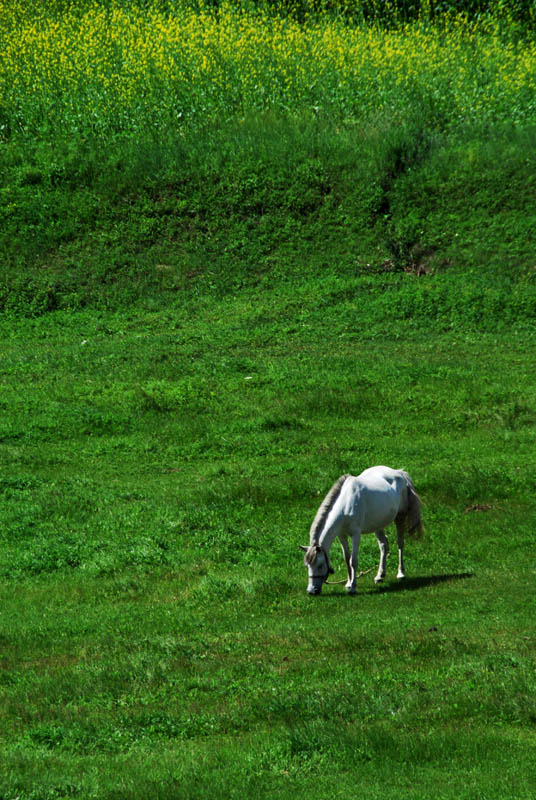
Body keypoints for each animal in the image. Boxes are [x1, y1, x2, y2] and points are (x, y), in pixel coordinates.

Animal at [300, 462, 420, 592]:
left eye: (320, 565)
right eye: (307, 566)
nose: (311, 591)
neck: (345, 505)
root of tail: (399, 473)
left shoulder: (356, 535)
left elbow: (353, 560)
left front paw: (353, 587)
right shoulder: (341, 535)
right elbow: (347, 558)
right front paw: (348, 583)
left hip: (400, 517)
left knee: (400, 543)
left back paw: (400, 574)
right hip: (378, 525)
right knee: (383, 545)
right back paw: (380, 576)